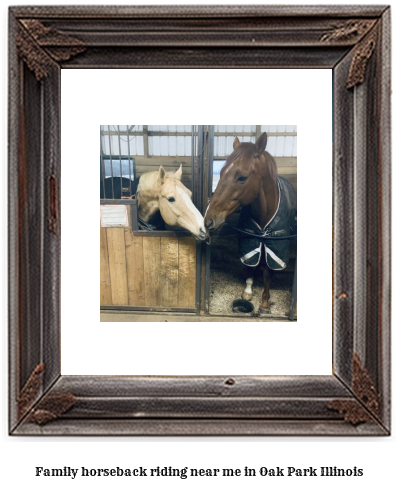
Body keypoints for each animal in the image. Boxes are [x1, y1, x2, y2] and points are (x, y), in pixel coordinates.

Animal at [206, 133, 296, 314]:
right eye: (222, 172)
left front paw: (265, 304)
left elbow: (268, 273)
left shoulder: (274, 245)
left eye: (242, 177)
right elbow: (250, 264)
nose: (208, 219)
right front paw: (247, 291)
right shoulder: (249, 239)